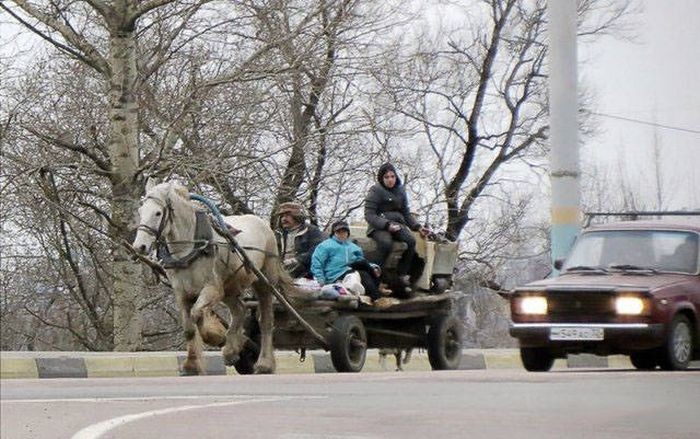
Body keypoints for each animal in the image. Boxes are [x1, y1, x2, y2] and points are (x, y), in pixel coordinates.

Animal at [131, 180, 290, 376]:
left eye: (158, 213)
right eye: (140, 211)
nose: (140, 246)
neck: (190, 248)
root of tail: (263, 224)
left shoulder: (212, 288)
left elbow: (197, 313)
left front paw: (214, 336)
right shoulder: (181, 292)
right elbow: (189, 329)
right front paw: (191, 366)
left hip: (264, 281)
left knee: (266, 320)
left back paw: (264, 364)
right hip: (229, 287)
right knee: (239, 309)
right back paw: (231, 351)